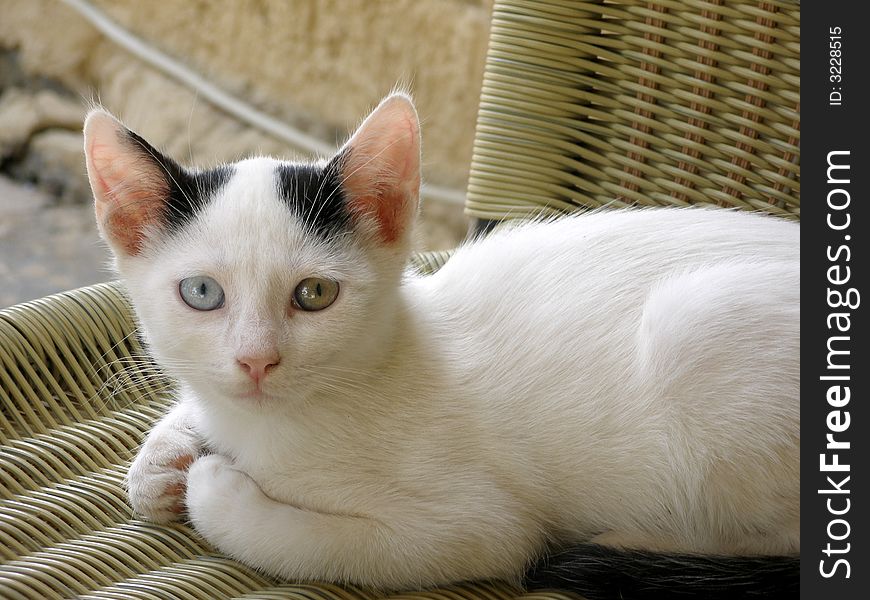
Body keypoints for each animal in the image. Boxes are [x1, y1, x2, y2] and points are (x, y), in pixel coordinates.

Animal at [85, 91, 800, 596]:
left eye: (315, 293)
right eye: (202, 292)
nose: (257, 360)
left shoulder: (476, 527)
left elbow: (324, 544)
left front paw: (213, 490)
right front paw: (161, 464)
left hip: (702, 319)